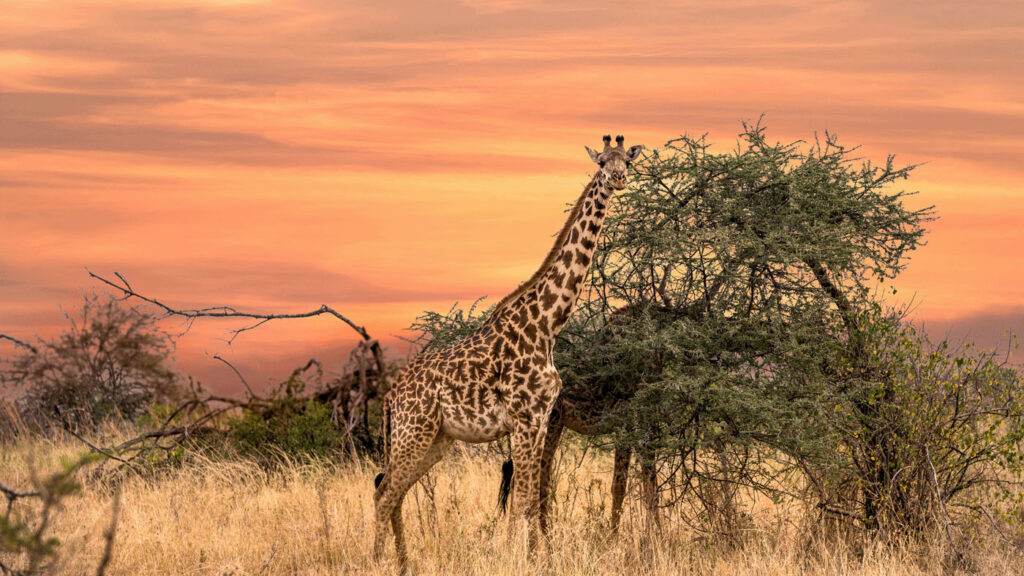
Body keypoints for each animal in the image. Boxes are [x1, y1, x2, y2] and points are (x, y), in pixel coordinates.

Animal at [372, 135, 643, 570]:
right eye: (601, 161)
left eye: (627, 162)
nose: (617, 179)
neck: (547, 325)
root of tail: (391, 396)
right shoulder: (526, 417)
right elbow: (524, 500)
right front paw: (521, 559)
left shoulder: (542, 418)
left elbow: (532, 497)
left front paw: (537, 558)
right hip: (414, 432)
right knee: (384, 493)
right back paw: (379, 562)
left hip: (435, 439)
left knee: (393, 492)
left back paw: (403, 564)